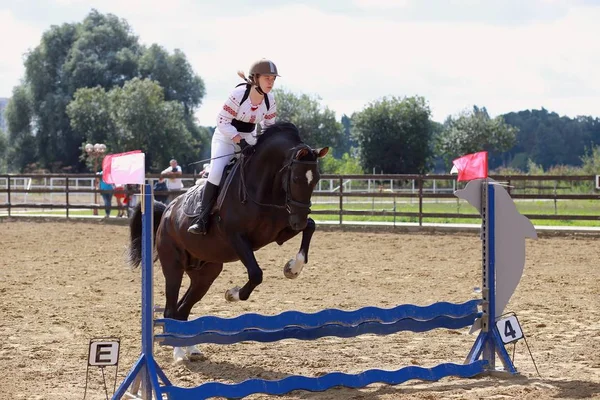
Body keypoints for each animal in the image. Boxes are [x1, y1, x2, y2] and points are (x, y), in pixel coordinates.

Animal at [126, 122, 328, 360]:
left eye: (316, 180)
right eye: (295, 179)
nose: (298, 220)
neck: (263, 186)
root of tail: (167, 211)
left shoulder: (279, 232)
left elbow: (311, 227)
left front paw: (293, 269)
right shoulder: (237, 238)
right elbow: (256, 274)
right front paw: (232, 294)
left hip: (205, 274)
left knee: (183, 310)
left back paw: (192, 349)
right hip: (173, 267)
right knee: (170, 310)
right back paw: (179, 353)